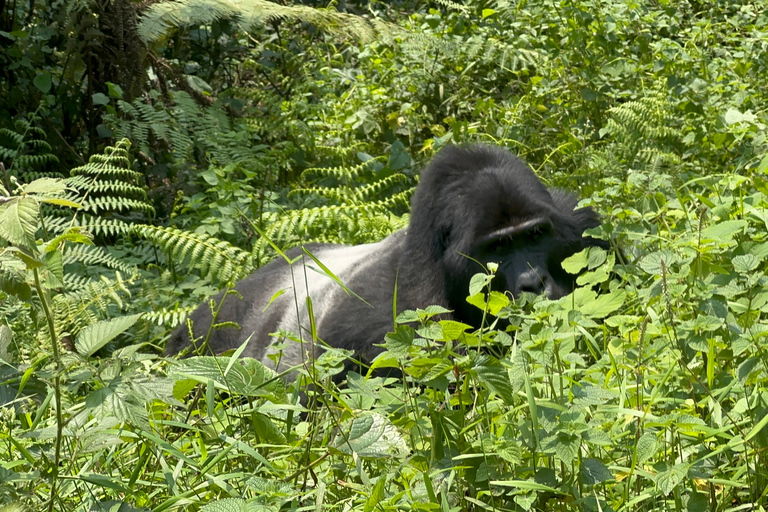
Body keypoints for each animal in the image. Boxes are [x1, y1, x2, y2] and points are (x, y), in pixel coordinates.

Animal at [166, 144, 608, 372]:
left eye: (535, 235)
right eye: (496, 249)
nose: (532, 283)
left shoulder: (584, 229)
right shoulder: (398, 321)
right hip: (204, 334)